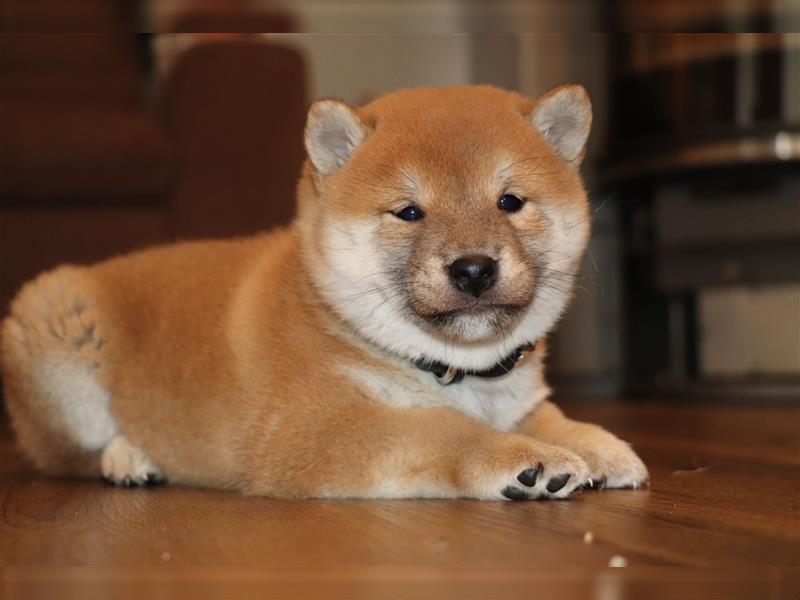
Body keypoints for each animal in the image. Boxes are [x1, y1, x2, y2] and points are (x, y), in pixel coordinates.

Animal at [1, 83, 648, 496]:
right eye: (408, 212)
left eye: (510, 201)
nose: (473, 269)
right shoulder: (316, 430)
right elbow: (442, 430)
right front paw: (519, 457)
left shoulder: (518, 398)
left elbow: (549, 416)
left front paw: (597, 443)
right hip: (54, 328)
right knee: (71, 454)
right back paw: (129, 455)